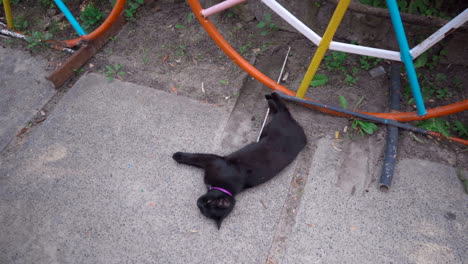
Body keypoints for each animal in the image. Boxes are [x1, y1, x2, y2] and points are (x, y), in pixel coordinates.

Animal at [173, 92, 308, 228]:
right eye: (208, 202)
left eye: (204, 208)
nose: (198, 202)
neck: (224, 186)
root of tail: (298, 129)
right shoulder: (213, 160)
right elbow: (195, 157)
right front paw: (176, 155)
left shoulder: (212, 161)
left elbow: (196, 158)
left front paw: (176, 156)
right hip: (269, 128)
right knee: (281, 107)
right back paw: (270, 96)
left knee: (281, 110)